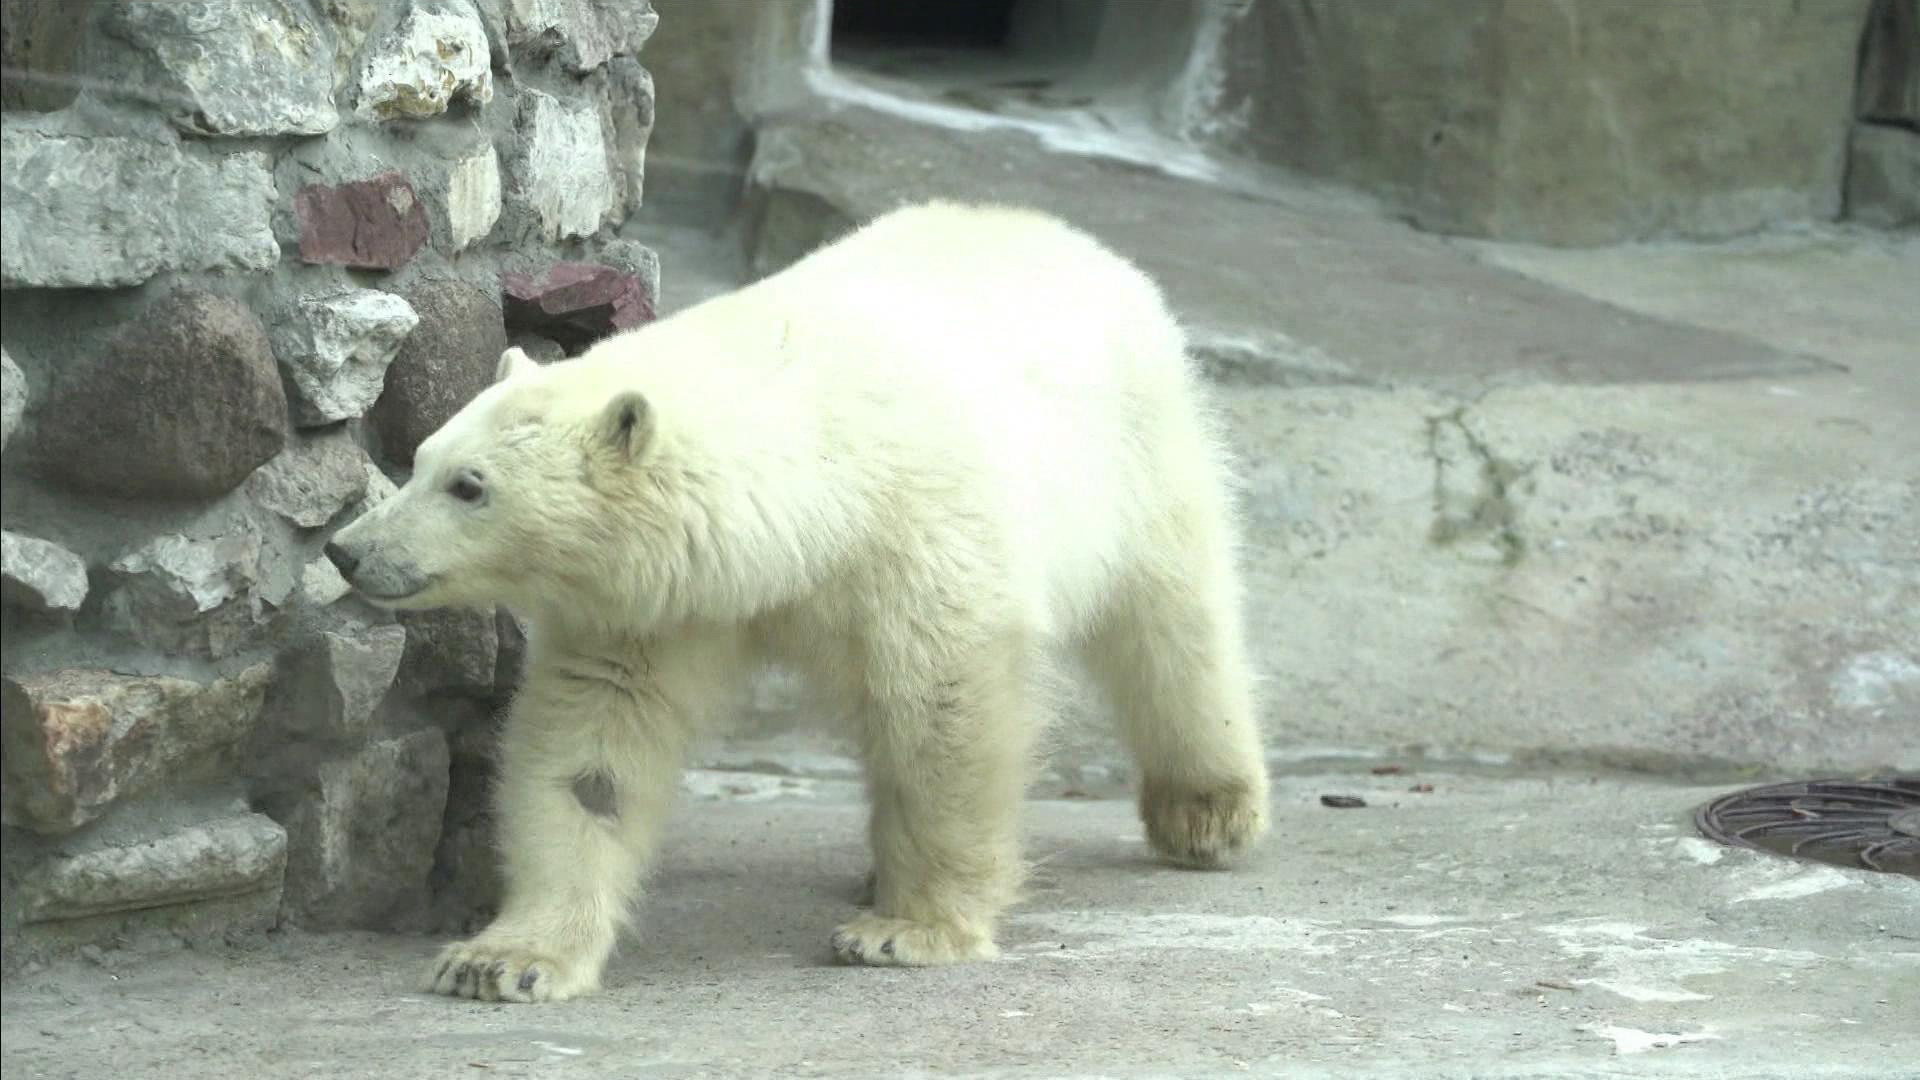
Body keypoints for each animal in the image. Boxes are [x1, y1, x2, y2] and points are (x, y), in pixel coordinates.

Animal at [322, 199, 1267, 991]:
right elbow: (592, 744)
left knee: (1173, 621)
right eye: (421, 459)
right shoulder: (660, 600)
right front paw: (504, 960)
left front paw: (907, 932)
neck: (818, 488)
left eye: (470, 486)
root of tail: (1059, 232)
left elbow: (947, 711)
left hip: (1133, 451)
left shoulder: (919, 538)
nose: (348, 550)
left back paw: (1207, 809)